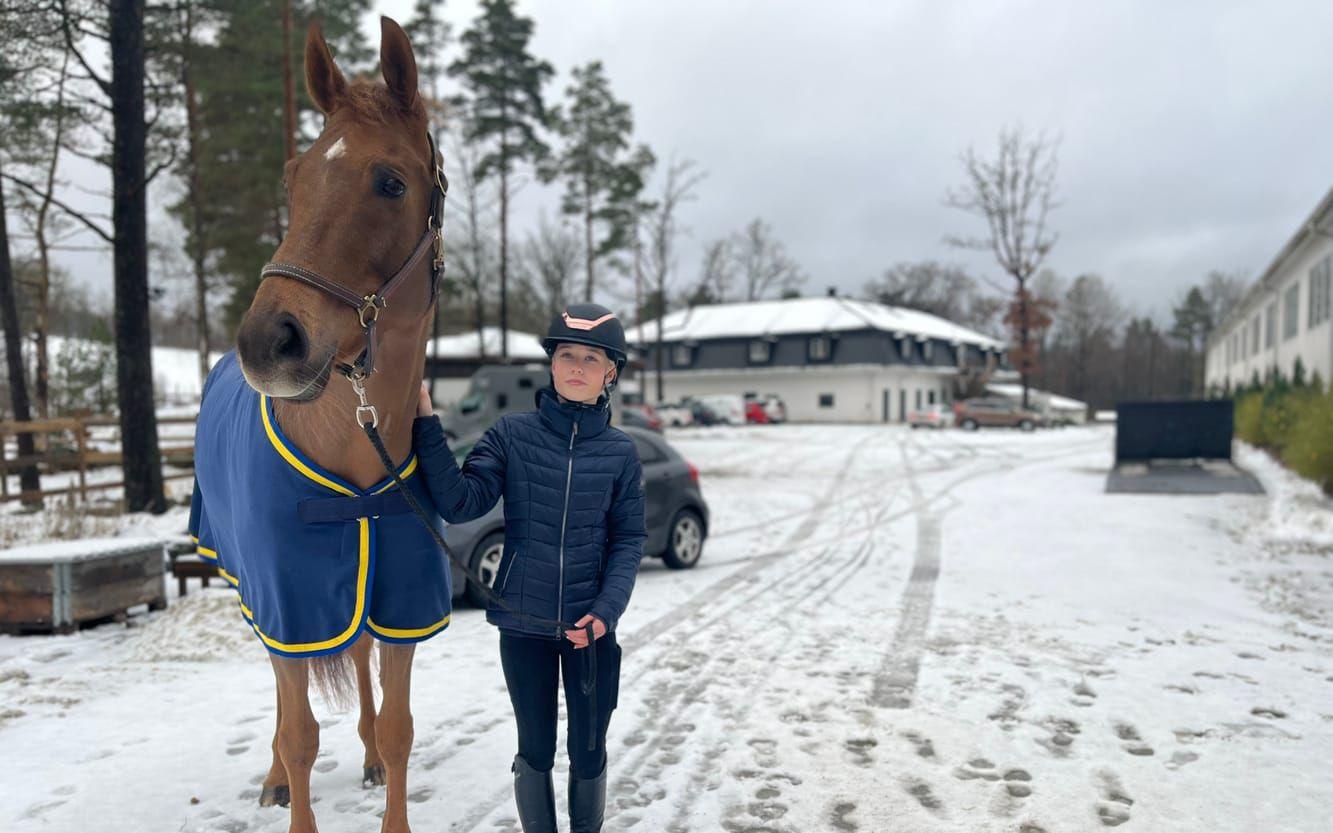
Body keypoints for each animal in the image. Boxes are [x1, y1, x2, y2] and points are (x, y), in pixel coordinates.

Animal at [189, 17, 447, 831]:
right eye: (293, 178)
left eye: (390, 181)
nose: (268, 343)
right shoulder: (289, 602)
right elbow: (300, 733)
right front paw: (286, 774)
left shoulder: (402, 604)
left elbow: (399, 729)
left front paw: (381, 759)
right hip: (251, 590)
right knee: (280, 694)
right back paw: (271, 775)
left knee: (355, 662)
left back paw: (362, 756)